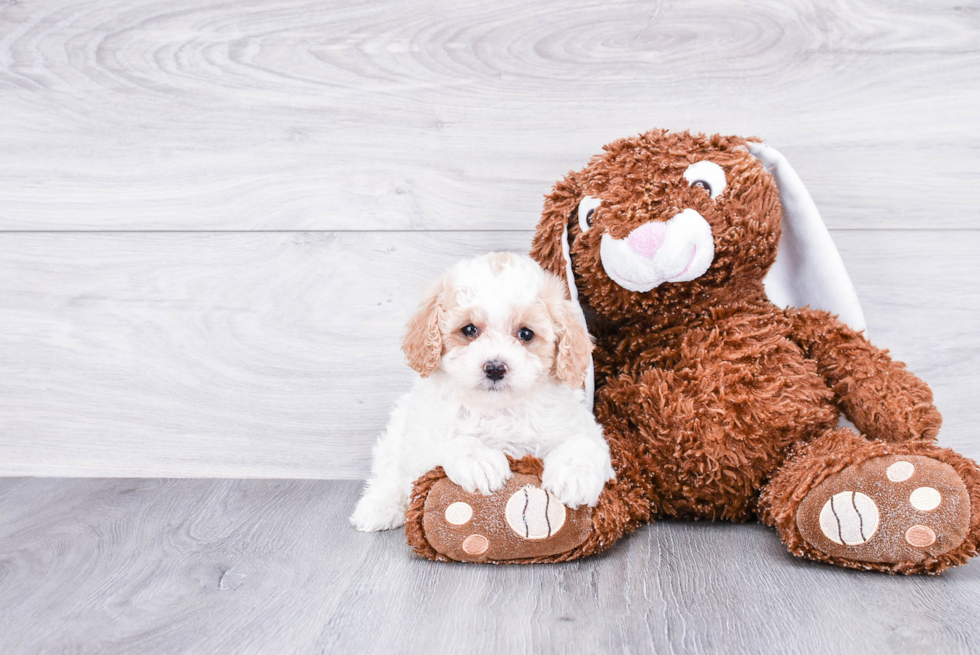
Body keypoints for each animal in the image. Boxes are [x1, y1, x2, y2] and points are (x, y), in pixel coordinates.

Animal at [350, 251, 612, 532]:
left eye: (526, 334)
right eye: (469, 330)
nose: (495, 368)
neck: (497, 408)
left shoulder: (580, 426)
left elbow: (583, 443)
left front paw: (574, 474)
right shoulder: (422, 442)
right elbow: (453, 441)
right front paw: (479, 460)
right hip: (396, 434)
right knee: (388, 475)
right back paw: (379, 507)